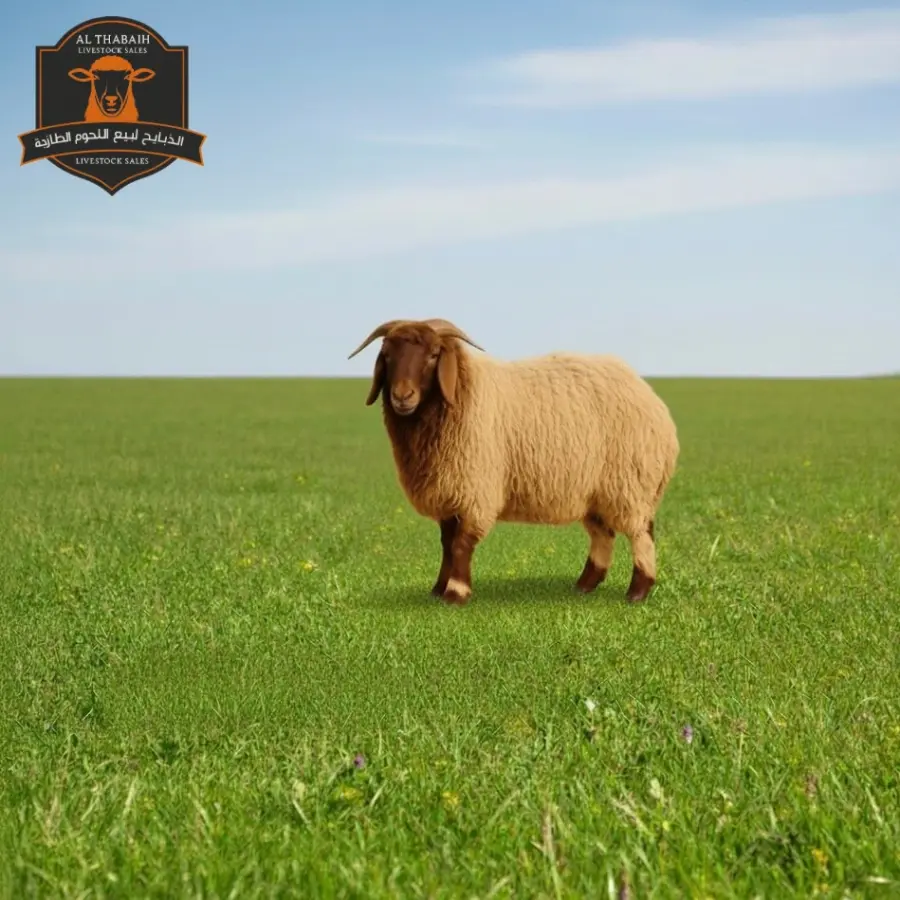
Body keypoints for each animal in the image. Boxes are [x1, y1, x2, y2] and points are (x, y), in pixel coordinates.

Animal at [348, 318, 679, 606]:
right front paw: (439, 589)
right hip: (595, 491)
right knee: (603, 534)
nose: (402, 396)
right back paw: (585, 585)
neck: (463, 391)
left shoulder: (476, 491)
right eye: (387, 356)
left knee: (641, 533)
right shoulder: (450, 491)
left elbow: (461, 544)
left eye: (433, 355)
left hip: (630, 483)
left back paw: (638, 591)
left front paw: (456, 594)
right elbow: (446, 544)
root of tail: (648, 394)